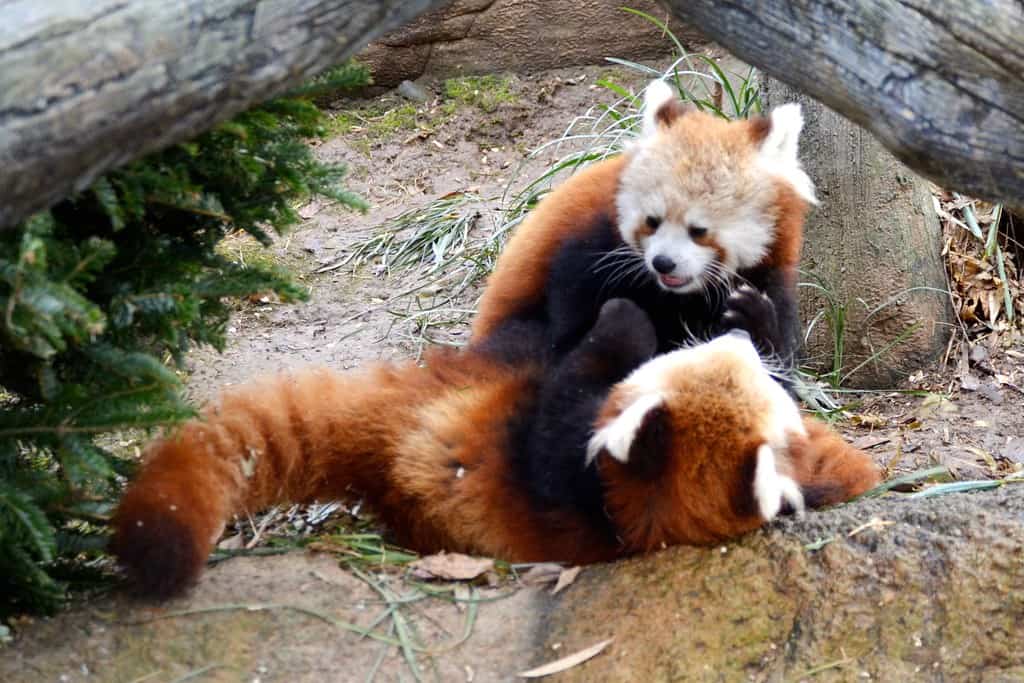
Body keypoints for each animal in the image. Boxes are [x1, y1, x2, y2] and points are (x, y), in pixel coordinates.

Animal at [114, 301, 880, 602]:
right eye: (732, 358)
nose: (740, 337)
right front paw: (755, 317)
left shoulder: (564, 465)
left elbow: (575, 386)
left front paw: (622, 322)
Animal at [468, 81, 815, 374]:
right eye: (652, 221)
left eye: (699, 230)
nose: (663, 262)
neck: (679, 296)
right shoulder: (583, 257)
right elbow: (569, 343)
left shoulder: (771, 270)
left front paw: (756, 322)